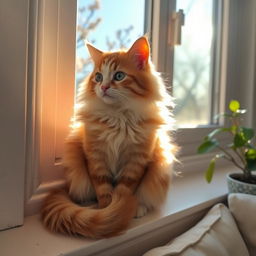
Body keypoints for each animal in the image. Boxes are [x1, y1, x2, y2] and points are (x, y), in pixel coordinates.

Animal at [42, 36, 178, 238]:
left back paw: (140, 207)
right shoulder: (96, 156)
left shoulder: (136, 160)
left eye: (119, 76)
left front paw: (123, 208)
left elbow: (125, 188)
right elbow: (104, 189)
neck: (119, 118)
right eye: (98, 77)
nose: (104, 87)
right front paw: (108, 210)